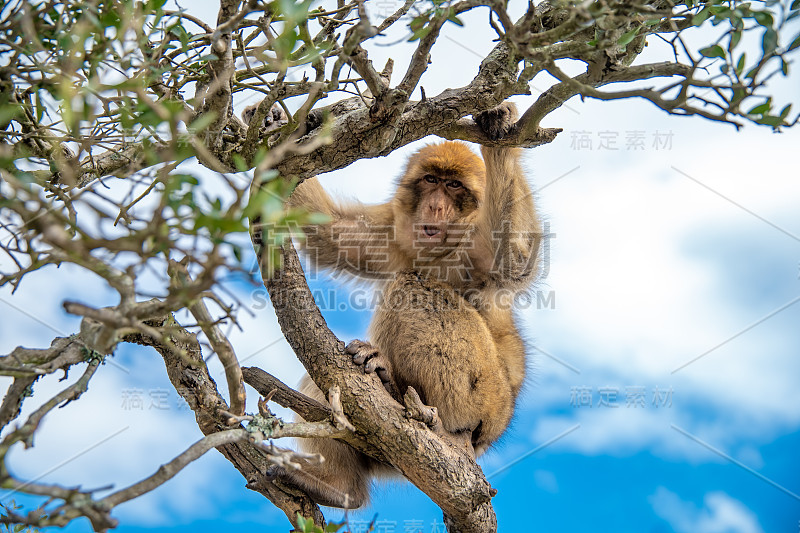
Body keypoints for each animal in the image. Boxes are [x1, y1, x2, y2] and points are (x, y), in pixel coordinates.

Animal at [272, 103, 540, 508]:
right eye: (431, 180)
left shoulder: (479, 245)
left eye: (454, 186)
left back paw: (415, 400)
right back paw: (338, 484)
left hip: (483, 395)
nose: (435, 205)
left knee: (414, 287)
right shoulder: (391, 229)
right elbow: (327, 231)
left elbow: (515, 259)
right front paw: (274, 124)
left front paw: (501, 128)